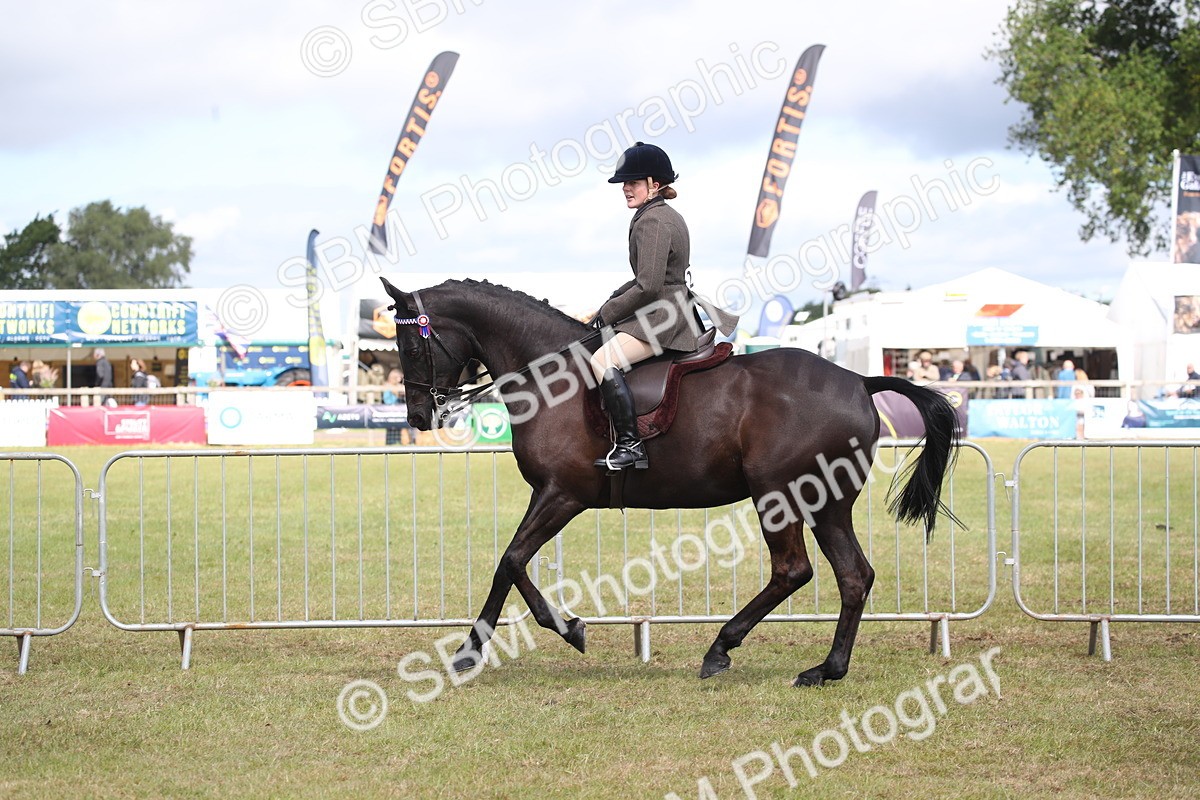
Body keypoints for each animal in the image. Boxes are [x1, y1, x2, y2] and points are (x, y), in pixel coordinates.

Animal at [381, 277, 959, 686]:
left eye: (410, 346)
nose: (417, 417)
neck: (550, 376)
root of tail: (859, 380)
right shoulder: (552, 495)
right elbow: (515, 562)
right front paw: (555, 631)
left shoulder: (562, 494)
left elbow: (510, 560)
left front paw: (487, 648)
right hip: (826, 504)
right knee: (853, 576)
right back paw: (826, 669)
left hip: (781, 496)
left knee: (794, 570)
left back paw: (722, 648)